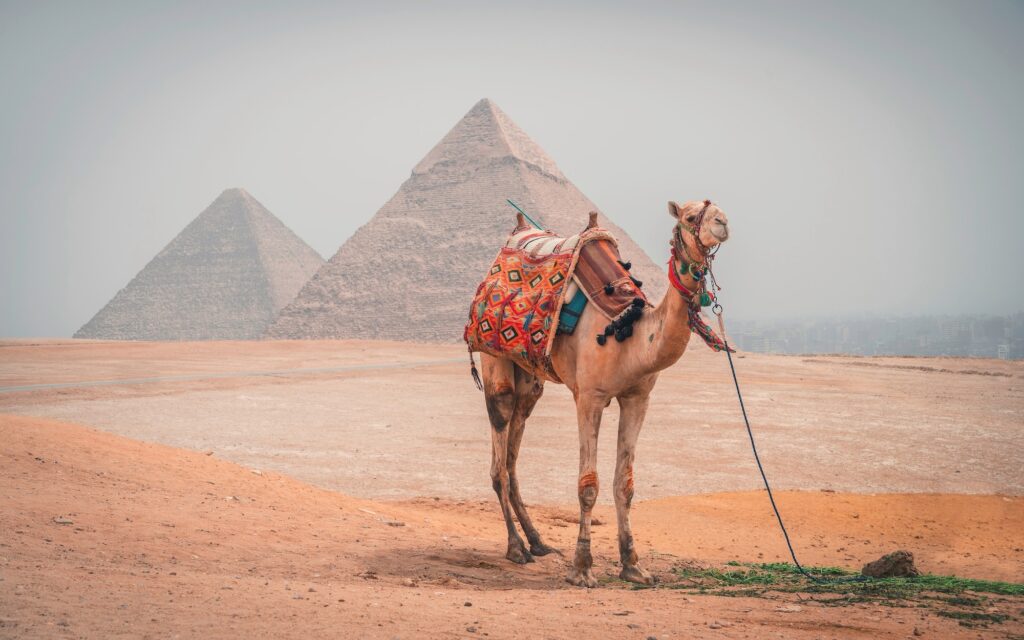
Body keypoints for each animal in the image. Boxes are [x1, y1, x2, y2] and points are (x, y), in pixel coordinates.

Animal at [478, 199, 731, 587]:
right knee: (499, 456)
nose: (722, 222)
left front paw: (634, 566)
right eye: (690, 216)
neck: (628, 332)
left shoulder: (638, 398)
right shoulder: (589, 397)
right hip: (495, 361)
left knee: (512, 452)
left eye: (718, 208)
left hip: (531, 378)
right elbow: (588, 485)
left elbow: (624, 484)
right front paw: (582, 568)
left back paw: (537, 541)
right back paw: (517, 547)